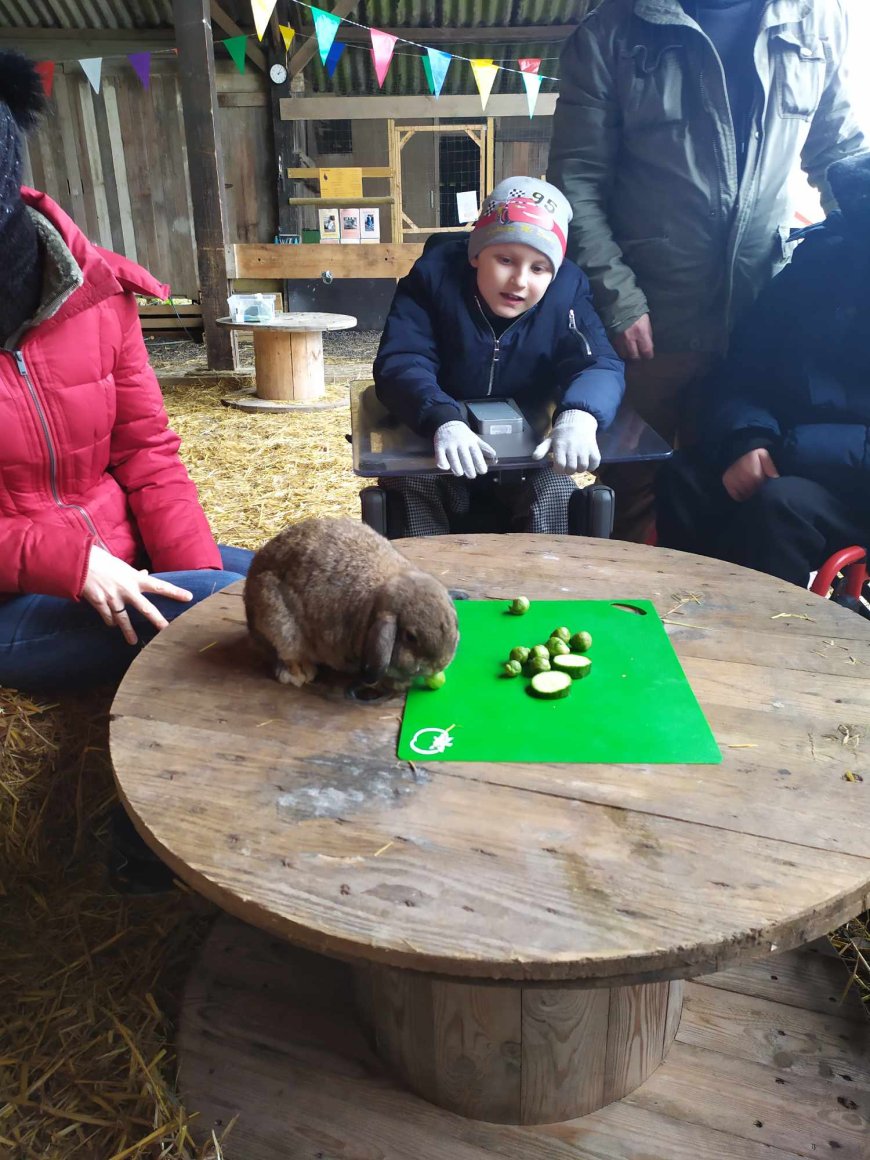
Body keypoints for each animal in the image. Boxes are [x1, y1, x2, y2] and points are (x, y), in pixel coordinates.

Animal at [245, 517, 459, 686]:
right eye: (410, 637)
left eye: (454, 622)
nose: (440, 664)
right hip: (278, 622)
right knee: (286, 654)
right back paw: (301, 673)